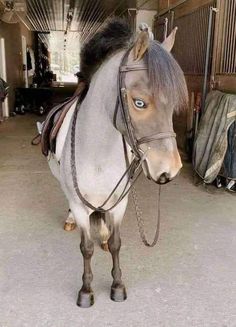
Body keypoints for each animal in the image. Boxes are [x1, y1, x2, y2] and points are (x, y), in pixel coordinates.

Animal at [46, 19, 188, 308]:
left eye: (172, 105)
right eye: (139, 102)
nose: (169, 169)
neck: (97, 152)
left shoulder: (119, 204)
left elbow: (115, 243)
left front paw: (117, 285)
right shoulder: (80, 204)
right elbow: (86, 247)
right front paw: (86, 291)